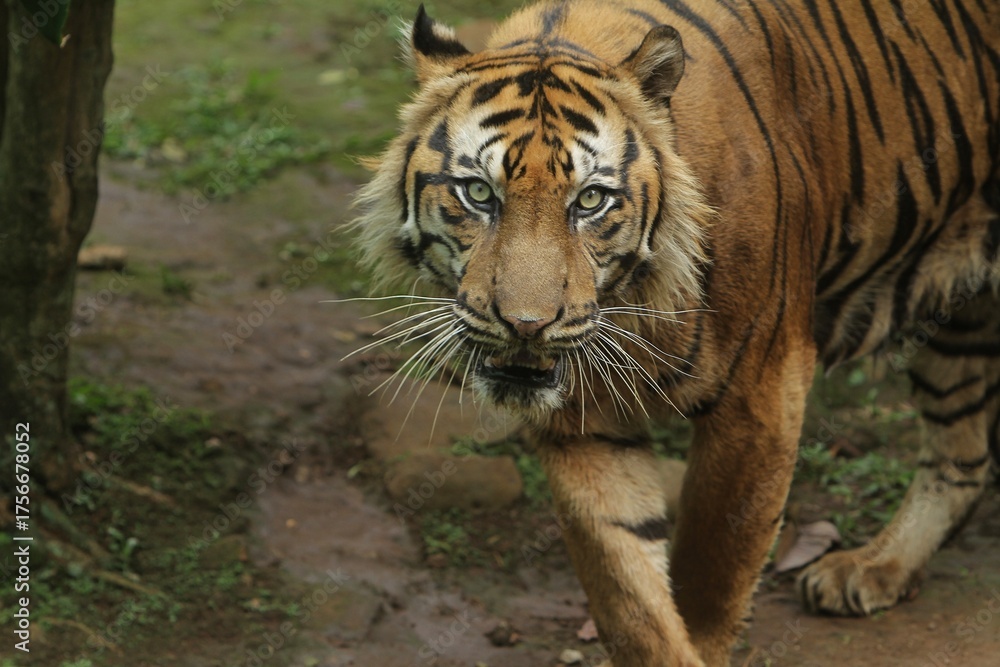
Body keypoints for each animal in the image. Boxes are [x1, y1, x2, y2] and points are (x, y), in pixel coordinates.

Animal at [352, 1, 1000, 665]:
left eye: (590, 201)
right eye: (479, 193)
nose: (527, 325)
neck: (633, 304)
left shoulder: (762, 397)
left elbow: (711, 577)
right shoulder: (583, 423)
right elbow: (628, 594)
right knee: (964, 460)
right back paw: (874, 567)